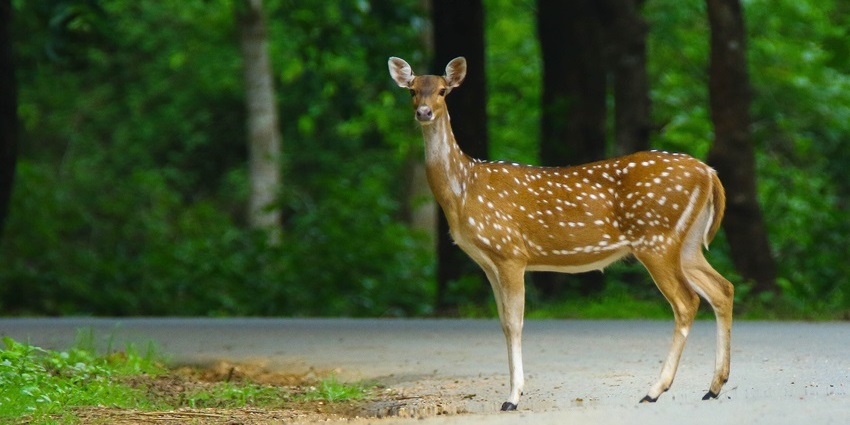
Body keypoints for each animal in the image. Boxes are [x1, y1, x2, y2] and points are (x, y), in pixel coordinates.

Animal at [388, 56, 734, 411]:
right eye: (412, 90)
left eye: (443, 91)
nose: (424, 112)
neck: (462, 191)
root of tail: (709, 173)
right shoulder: (488, 263)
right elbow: (503, 323)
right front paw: (514, 392)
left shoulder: (510, 252)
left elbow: (515, 323)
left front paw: (513, 397)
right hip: (687, 244)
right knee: (722, 289)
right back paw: (714, 386)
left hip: (656, 239)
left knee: (687, 301)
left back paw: (655, 389)